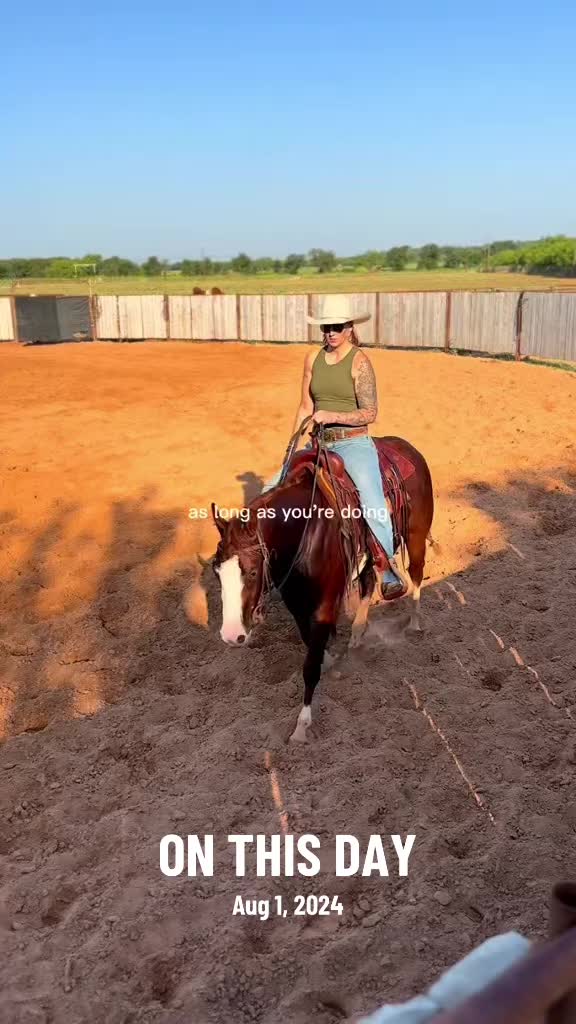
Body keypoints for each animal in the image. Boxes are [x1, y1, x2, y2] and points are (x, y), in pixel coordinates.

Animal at [211, 435, 434, 742]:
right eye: (216, 571)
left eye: (253, 572)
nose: (232, 636)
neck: (304, 530)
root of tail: (407, 447)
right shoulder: (296, 601)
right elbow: (311, 645)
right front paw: (331, 661)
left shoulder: (325, 603)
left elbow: (310, 665)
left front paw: (301, 726)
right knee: (368, 582)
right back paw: (357, 635)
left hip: (415, 538)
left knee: (415, 575)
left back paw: (413, 622)